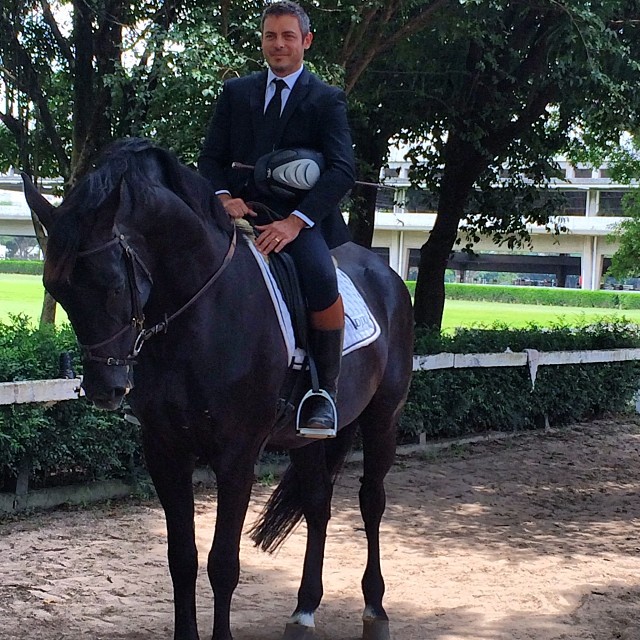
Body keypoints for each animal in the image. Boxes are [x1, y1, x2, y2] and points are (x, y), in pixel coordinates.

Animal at [22, 140, 416, 640]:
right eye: (56, 289)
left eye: (112, 284)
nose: (104, 387)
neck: (199, 312)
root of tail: (384, 273)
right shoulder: (165, 450)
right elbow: (182, 559)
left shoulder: (237, 455)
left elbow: (223, 563)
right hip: (306, 438)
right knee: (317, 504)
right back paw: (304, 610)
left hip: (384, 418)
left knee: (371, 501)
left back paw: (375, 609)